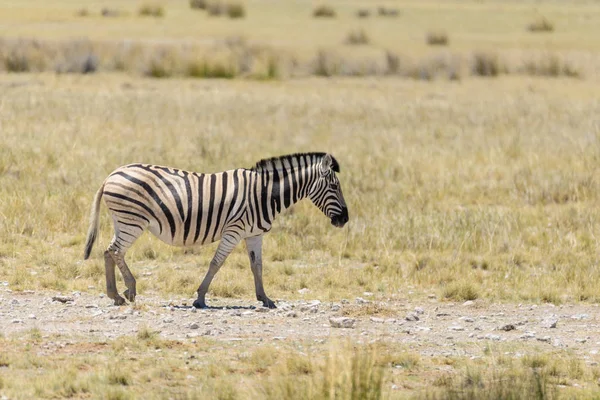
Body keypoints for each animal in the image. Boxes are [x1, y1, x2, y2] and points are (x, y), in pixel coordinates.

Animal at [82, 152, 350, 308]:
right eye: (334, 186)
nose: (345, 219)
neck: (264, 194)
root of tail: (111, 175)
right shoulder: (234, 230)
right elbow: (216, 263)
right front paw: (200, 298)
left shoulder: (254, 234)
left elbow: (257, 265)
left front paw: (265, 298)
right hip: (132, 221)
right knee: (115, 251)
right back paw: (128, 290)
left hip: (124, 221)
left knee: (109, 252)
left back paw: (116, 294)